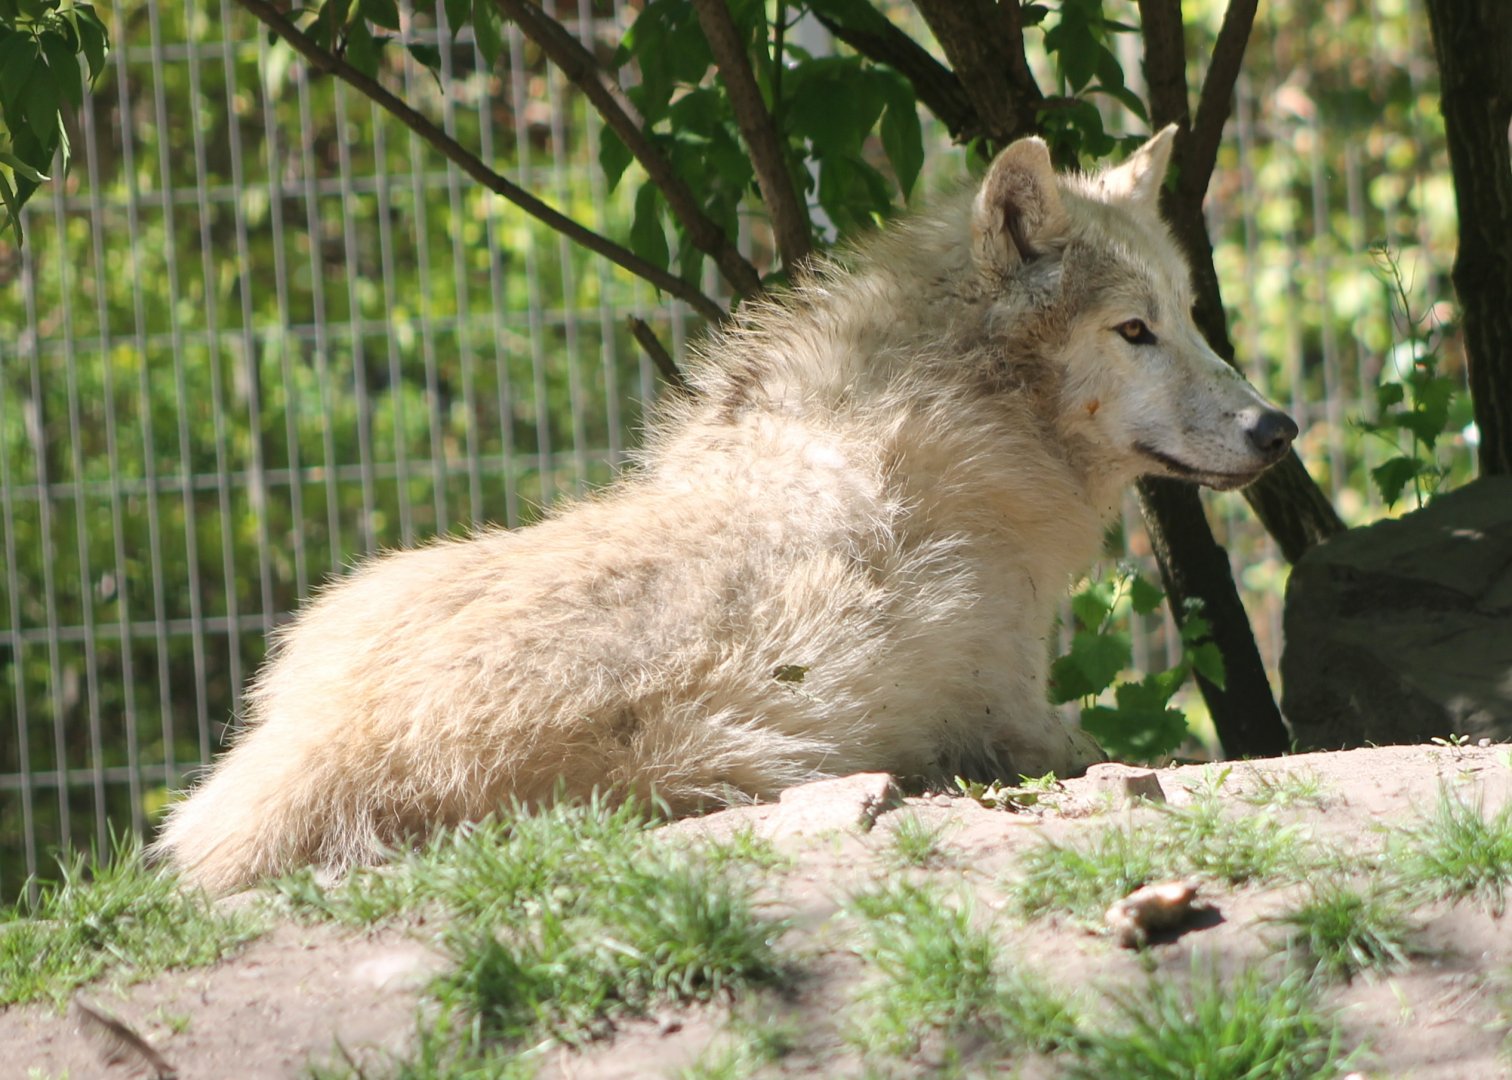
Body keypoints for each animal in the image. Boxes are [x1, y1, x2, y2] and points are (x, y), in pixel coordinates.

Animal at [152, 127, 1297, 892]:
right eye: (1134, 330)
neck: (963, 418)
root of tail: (322, 761)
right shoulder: (1019, 720)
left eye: (1191, 317)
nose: (1278, 428)